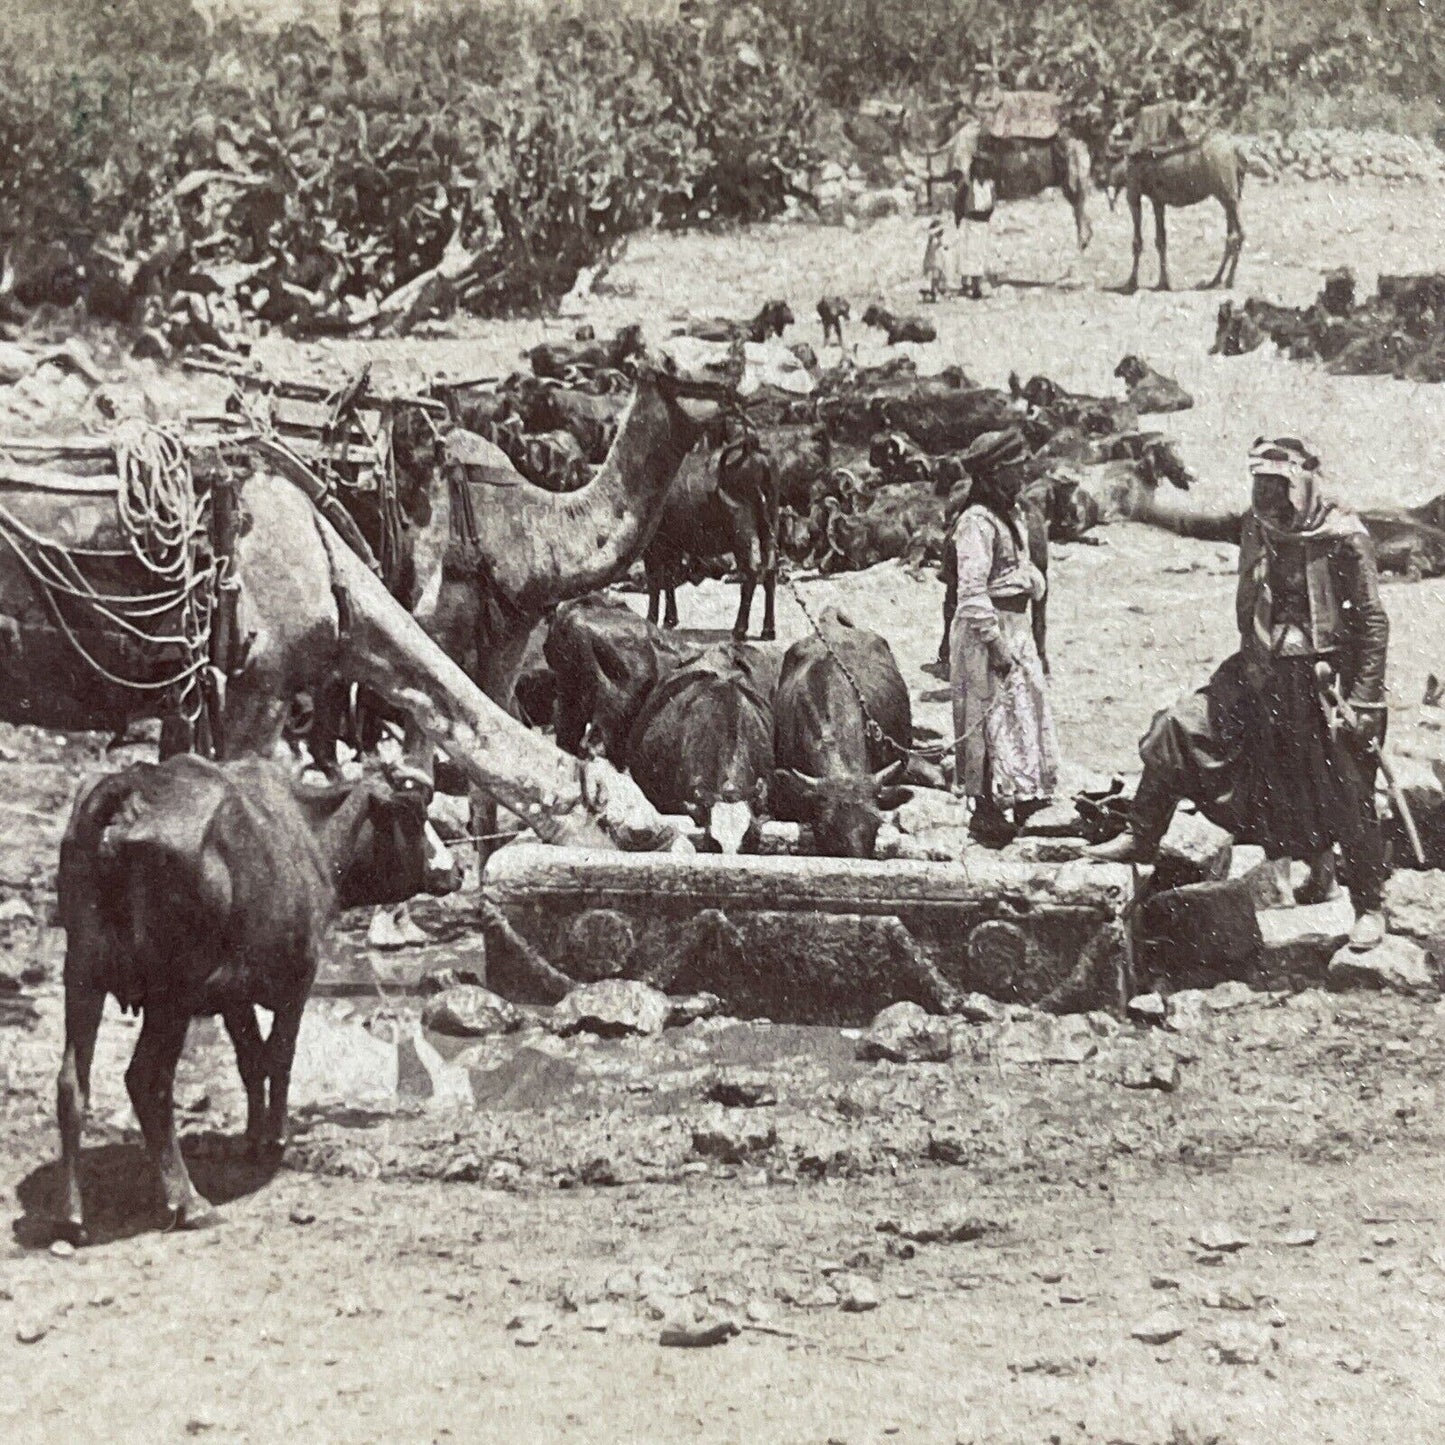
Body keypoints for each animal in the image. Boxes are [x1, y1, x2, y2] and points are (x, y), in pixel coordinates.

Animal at [54, 757, 456, 1242]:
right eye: (416, 815)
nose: (455, 871)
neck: (309, 831)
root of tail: (123, 793)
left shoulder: (234, 995)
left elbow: (251, 1060)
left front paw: (253, 1134)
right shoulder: (299, 980)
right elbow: (279, 1056)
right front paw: (276, 1137)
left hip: (81, 976)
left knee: (72, 1084)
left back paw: (72, 1215)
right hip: (171, 997)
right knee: (148, 1080)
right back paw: (188, 1201)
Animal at [1109, 107, 1248, 296]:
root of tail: (1235, 151)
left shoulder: (1133, 192)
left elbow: (1137, 242)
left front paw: (1131, 283)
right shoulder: (1157, 200)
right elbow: (1161, 240)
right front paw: (1163, 283)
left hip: (1227, 193)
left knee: (1238, 234)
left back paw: (1227, 280)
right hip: (1231, 195)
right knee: (1231, 235)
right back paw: (1215, 280)